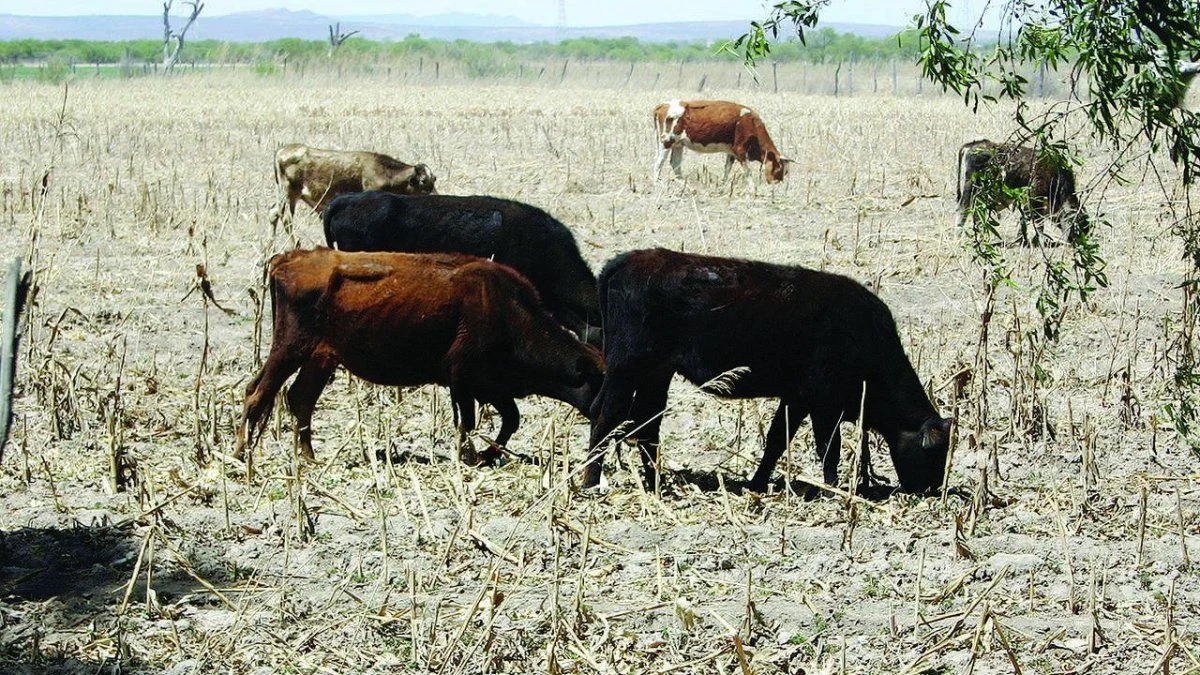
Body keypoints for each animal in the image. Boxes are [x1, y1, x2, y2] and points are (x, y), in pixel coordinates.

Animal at [235, 248, 604, 468]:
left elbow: (510, 420)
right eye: (602, 383)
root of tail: (288, 258)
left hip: (320, 358)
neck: (508, 309)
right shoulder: (461, 377)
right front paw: (470, 456)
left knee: (300, 399)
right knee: (257, 394)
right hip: (290, 349)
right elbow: (468, 422)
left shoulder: (492, 386)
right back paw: (241, 455)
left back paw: (309, 459)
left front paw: (486, 453)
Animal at [267, 144, 437, 231]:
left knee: (273, 213)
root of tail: (282, 151)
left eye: (434, 179)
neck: (384, 172)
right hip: (288, 195)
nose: (436, 196)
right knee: (285, 218)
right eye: (423, 181)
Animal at [585, 248, 951, 496]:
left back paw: (655, 482)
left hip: (656, 375)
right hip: (626, 370)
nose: (932, 489)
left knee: (647, 427)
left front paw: (757, 483)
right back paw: (591, 482)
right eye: (933, 453)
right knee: (607, 418)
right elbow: (828, 449)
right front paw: (832, 489)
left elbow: (776, 440)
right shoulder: (824, 404)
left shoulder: (796, 399)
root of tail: (626, 261)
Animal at [653, 99, 790, 183]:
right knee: (659, 162)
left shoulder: (731, 151)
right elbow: (748, 171)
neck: (752, 123)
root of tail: (664, 105)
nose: (776, 184)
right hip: (667, 141)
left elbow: (727, 168)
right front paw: (752, 188)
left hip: (678, 144)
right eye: (780, 169)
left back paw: (683, 183)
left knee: (675, 163)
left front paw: (724, 184)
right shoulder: (740, 150)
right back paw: (657, 182)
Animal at [956, 139, 1086, 244]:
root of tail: (973, 145)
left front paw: (1021, 239)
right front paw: (1041, 240)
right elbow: (1037, 221)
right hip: (971, 186)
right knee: (963, 208)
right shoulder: (1035, 198)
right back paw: (958, 236)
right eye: (1076, 219)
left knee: (977, 212)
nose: (1073, 240)